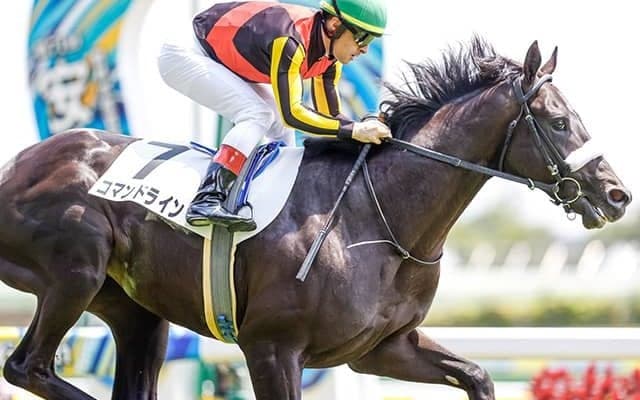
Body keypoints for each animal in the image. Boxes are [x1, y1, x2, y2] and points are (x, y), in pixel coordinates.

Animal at [0, 37, 631, 400]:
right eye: (557, 122)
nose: (617, 194)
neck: (377, 219)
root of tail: (18, 164)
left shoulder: (382, 348)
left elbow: (476, 375)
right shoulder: (272, 349)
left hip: (136, 312)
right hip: (76, 271)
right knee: (27, 366)